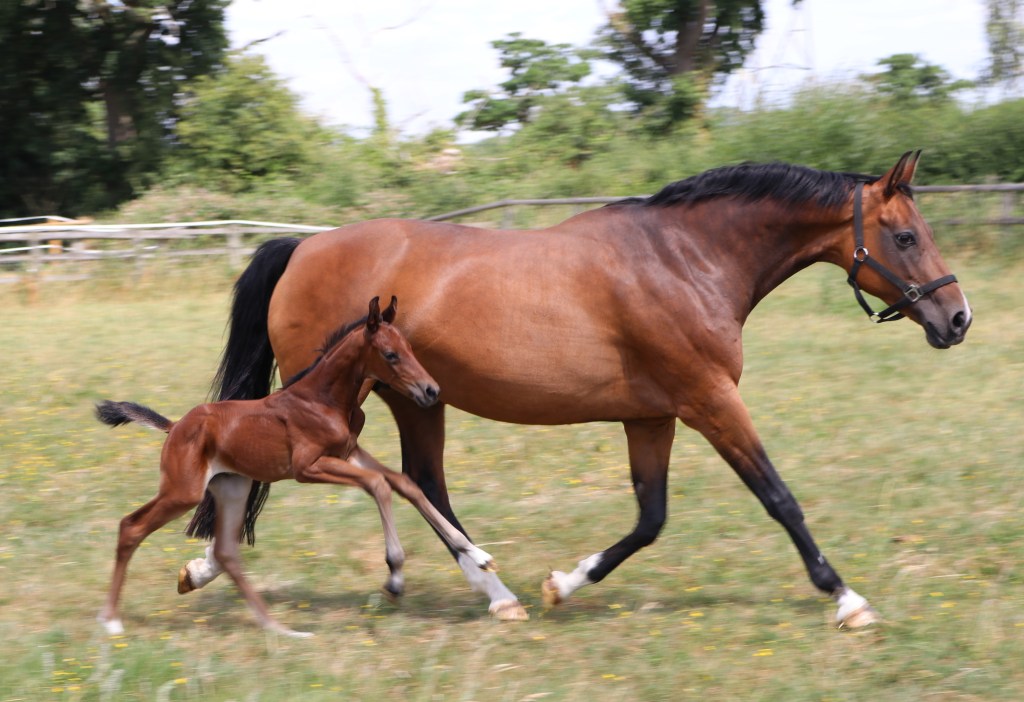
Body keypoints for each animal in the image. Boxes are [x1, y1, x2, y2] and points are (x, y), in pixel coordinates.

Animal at [95, 296, 496, 638]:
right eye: (390, 354)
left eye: (412, 348)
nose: (431, 391)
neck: (323, 398)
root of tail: (175, 426)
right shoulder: (308, 468)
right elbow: (379, 485)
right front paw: (395, 576)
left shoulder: (348, 451)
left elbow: (404, 483)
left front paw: (478, 555)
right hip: (184, 491)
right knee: (131, 527)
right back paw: (111, 621)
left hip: (232, 487)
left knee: (226, 552)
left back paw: (281, 630)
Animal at [194, 152, 971, 627]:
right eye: (905, 237)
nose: (957, 318)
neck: (685, 261)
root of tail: (302, 246)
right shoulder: (712, 402)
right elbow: (779, 498)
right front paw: (848, 599)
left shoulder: (653, 418)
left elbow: (650, 518)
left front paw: (563, 584)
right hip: (334, 399)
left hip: (416, 398)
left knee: (422, 480)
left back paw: (499, 592)